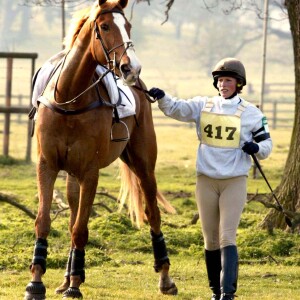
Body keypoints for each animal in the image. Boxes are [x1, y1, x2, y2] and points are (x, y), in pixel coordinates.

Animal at [25, 1, 178, 298]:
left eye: (128, 26)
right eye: (105, 26)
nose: (131, 68)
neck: (69, 99)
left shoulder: (90, 172)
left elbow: (80, 229)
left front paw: (75, 286)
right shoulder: (47, 166)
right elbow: (44, 221)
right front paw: (37, 282)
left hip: (143, 165)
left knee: (153, 213)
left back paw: (165, 277)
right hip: (72, 174)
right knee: (73, 214)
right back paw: (67, 277)